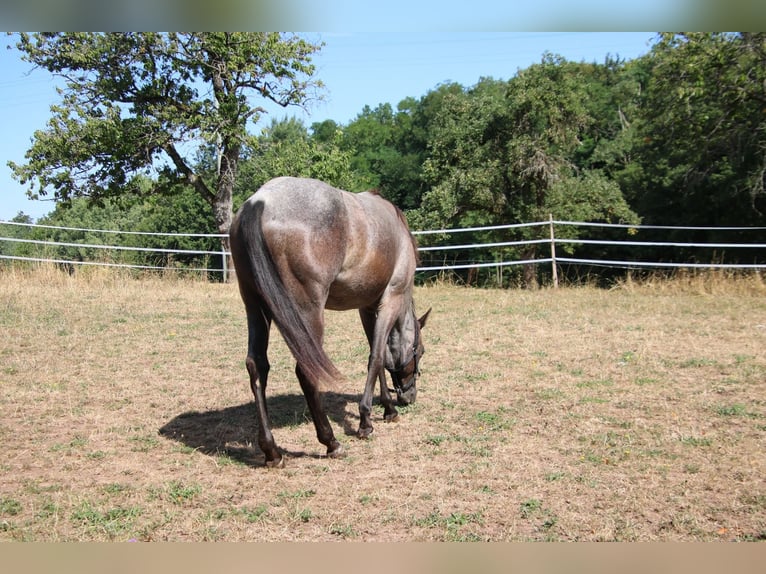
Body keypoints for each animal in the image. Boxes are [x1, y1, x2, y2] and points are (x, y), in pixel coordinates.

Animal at [229, 176, 430, 468]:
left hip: (254, 306)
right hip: (308, 314)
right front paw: (366, 421)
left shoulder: (367, 307)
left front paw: (387, 408)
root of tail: (259, 201)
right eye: (421, 352)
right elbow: (377, 358)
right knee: (306, 372)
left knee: (257, 366)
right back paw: (331, 442)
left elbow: (378, 355)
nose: (409, 397)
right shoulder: (391, 299)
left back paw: (272, 451)